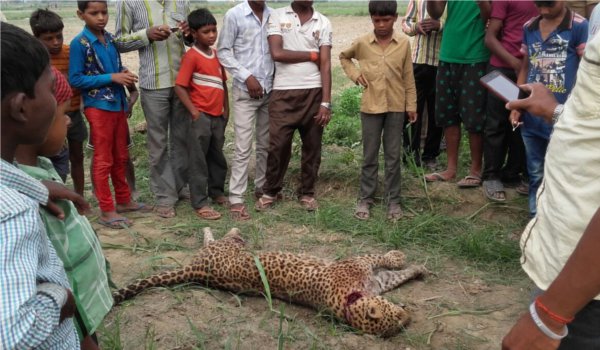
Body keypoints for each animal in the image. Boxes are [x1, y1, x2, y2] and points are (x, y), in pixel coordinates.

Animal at [112, 227, 426, 336]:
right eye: (396, 315)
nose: (409, 317)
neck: (349, 302)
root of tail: (196, 270)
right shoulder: (357, 262)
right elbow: (380, 256)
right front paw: (401, 256)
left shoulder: (379, 281)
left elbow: (397, 274)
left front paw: (418, 269)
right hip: (227, 246)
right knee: (219, 236)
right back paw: (227, 226)